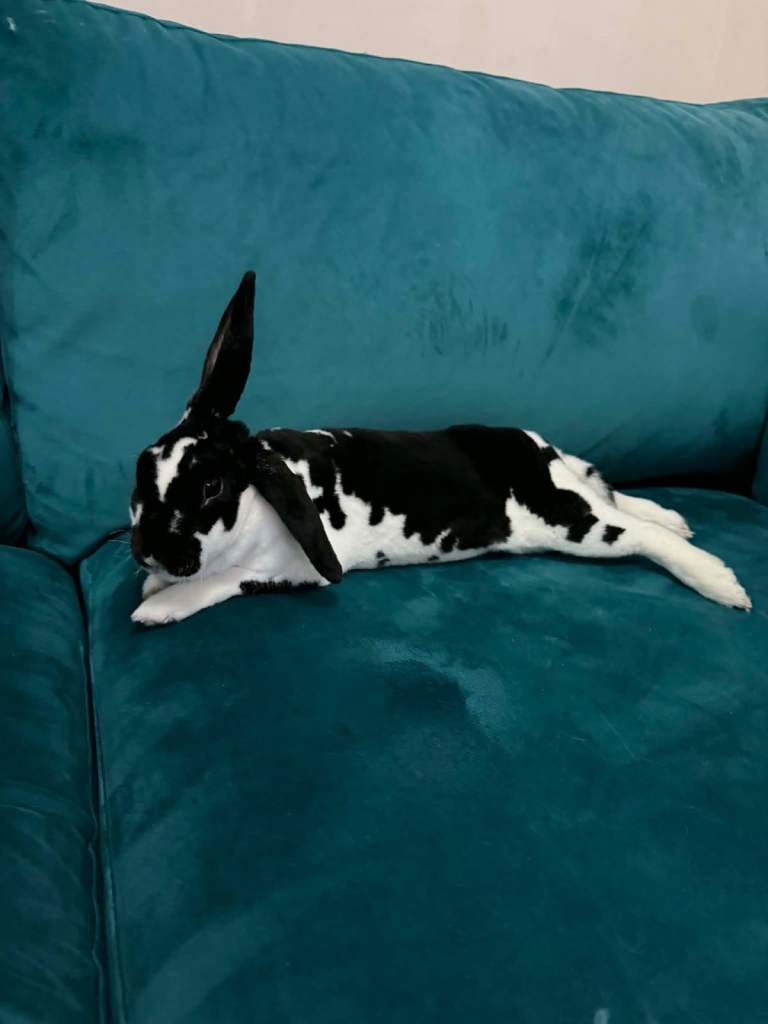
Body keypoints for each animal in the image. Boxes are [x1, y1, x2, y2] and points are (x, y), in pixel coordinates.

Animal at [129, 271, 751, 626]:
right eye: (142, 466)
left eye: (212, 486)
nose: (147, 550)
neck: (259, 501)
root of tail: (538, 449)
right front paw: (156, 582)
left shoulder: (287, 568)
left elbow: (220, 583)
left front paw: (155, 607)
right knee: (620, 500)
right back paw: (677, 519)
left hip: (571, 523)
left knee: (639, 534)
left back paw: (723, 584)